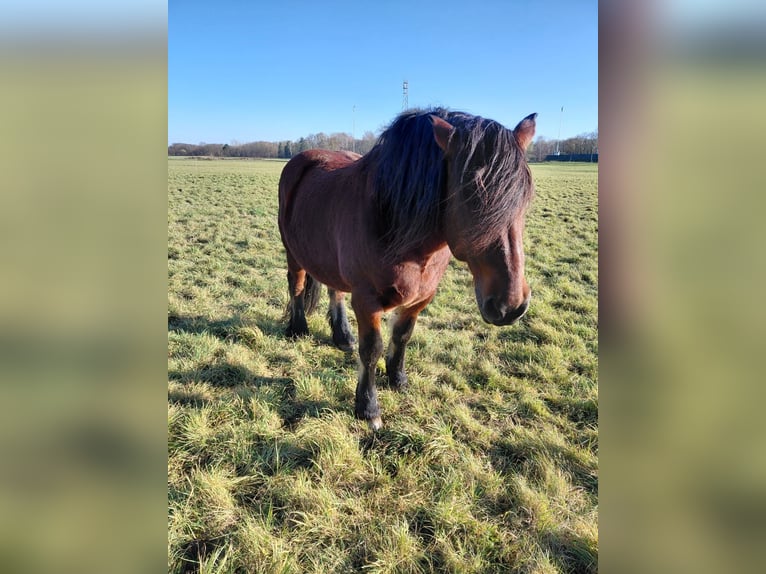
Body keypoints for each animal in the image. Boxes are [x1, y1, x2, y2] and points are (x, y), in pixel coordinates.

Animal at [278, 108, 536, 430]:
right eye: (469, 194)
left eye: (524, 197)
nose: (510, 306)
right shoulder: (366, 301)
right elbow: (371, 349)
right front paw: (369, 408)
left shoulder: (420, 298)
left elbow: (402, 336)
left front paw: (397, 379)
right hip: (293, 252)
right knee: (297, 285)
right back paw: (298, 329)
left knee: (334, 289)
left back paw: (343, 336)